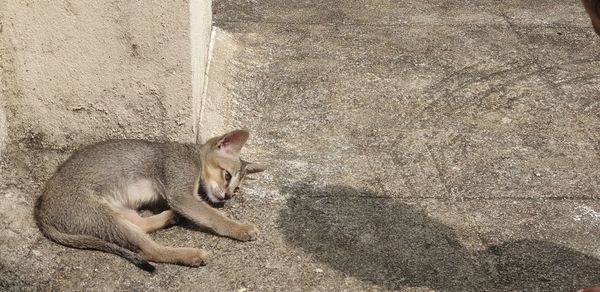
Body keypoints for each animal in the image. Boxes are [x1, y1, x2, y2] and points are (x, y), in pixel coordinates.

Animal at [34, 129, 264, 272]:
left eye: (236, 189)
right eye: (227, 176)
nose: (227, 196)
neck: (193, 156)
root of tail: (42, 210)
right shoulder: (181, 195)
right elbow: (214, 216)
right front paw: (240, 228)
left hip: (118, 210)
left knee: (140, 225)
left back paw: (171, 217)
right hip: (101, 216)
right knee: (149, 250)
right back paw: (190, 254)